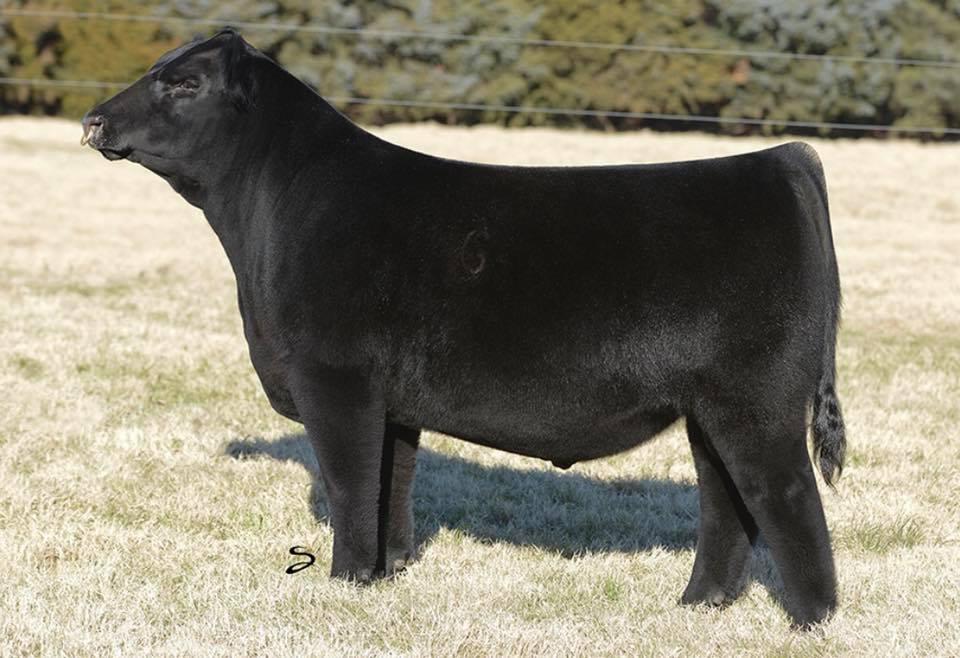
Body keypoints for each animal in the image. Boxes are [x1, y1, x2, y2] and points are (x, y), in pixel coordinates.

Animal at [81, 28, 846, 628]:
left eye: (182, 83)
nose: (91, 121)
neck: (267, 217)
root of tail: (780, 159)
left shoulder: (335, 380)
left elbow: (350, 486)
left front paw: (344, 582)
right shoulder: (392, 402)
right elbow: (390, 485)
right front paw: (384, 575)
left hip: (757, 403)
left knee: (786, 497)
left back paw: (811, 622)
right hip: (710, 407)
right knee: (727, 501)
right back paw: (698, 605)